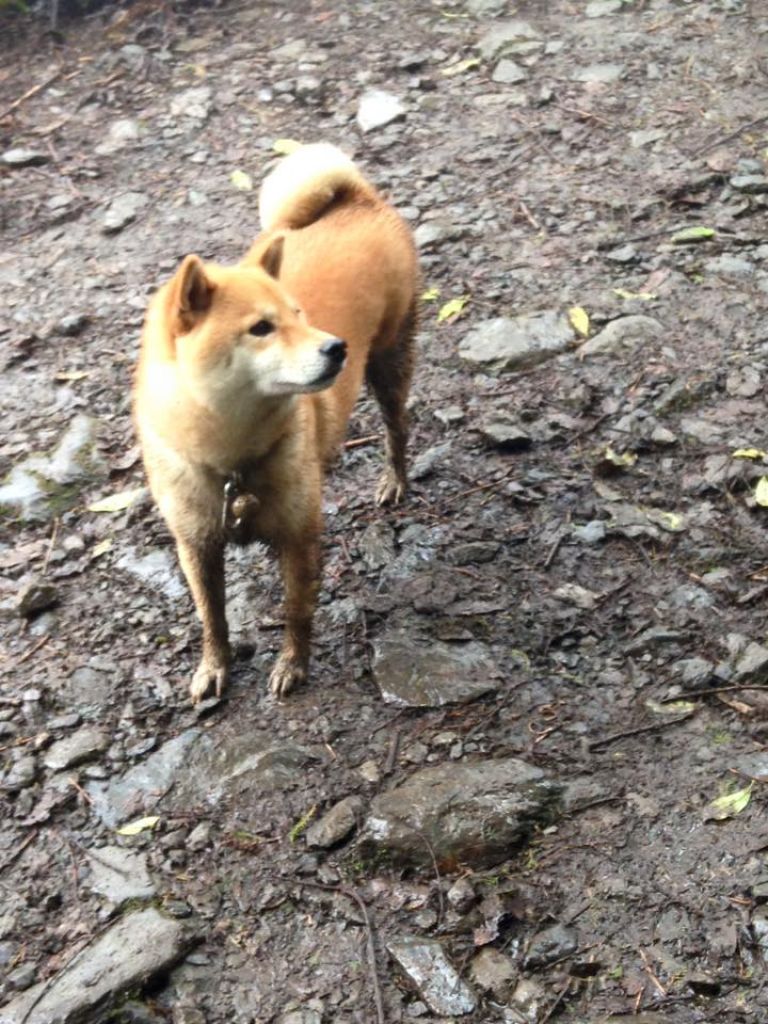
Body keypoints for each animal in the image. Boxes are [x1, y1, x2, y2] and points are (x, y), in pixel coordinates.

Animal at [135, 142, 417, 704]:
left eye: (299, 314)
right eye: (261, 329)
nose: (337, 348)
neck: (231, 458)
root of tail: (357, 199)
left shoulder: (299, 535)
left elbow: (296, 612)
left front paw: (293, 665)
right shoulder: (196, 545)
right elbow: (212, 617)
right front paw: (214, 667)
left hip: (390, 364)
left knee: (397, 430)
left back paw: (393, 479)